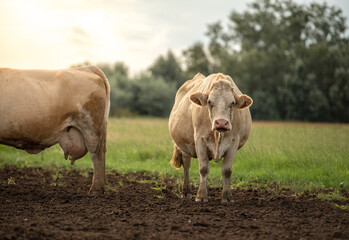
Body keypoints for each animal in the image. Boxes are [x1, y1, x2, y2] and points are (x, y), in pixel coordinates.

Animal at [168, 72, 251, 202]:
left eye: (232, 103)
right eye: (209, 102)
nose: (221, 123)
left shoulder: (234, 141)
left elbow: (227, 170)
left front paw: (227, 196)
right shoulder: (199, 139)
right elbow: (203, 168)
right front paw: (201, 196)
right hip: (184, 144)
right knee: (186, 165)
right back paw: (186, 191)